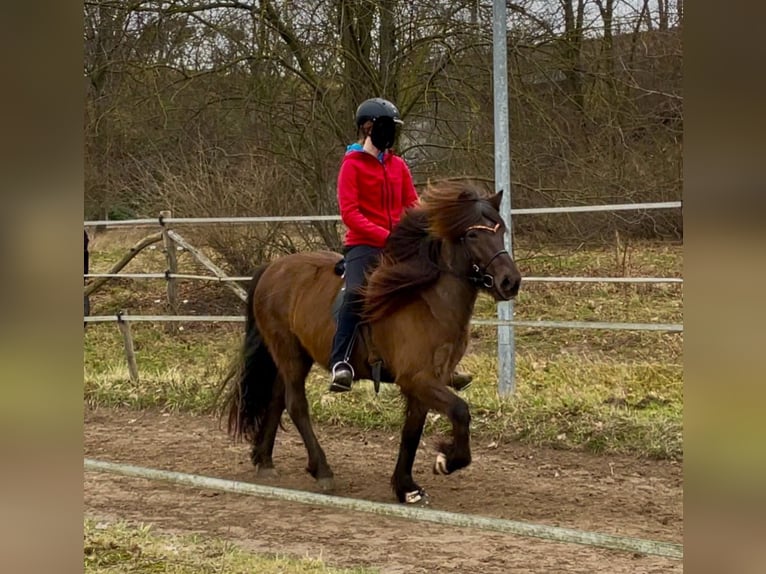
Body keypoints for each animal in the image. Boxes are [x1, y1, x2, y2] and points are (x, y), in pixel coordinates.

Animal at [219, 182, 524, 506]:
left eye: (500, 229)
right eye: (472, 234)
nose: (510, 282)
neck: (429, 302)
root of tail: (272, 268)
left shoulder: (427, 382)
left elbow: (412, 431)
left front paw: (406, 487)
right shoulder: (417, 378)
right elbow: (460, 412)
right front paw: (446, 460)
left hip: (295, 355)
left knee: (277, 398)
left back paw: (265, 461)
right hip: (287, 351)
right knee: (295, 404)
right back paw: (322, 470)